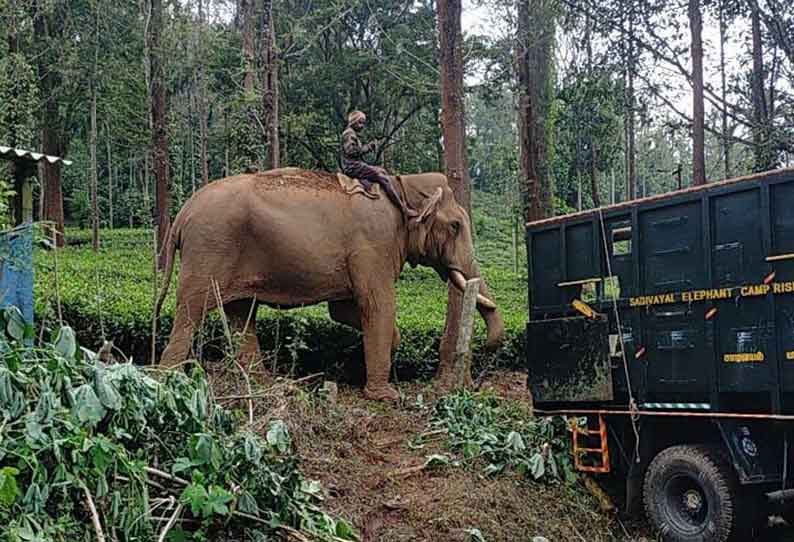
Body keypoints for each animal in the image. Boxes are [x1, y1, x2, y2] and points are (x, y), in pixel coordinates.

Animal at [154, 168, 502, 402]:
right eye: (455, 226)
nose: (488, 346)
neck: (402, 186)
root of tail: (182, 215)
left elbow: (344, 310)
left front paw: (390, 347)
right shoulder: (373, 246)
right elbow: (378, 304)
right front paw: (385, 397)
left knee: (241, 314)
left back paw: (260, 383)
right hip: (208, 250)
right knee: (190, 311)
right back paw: (168, 381)